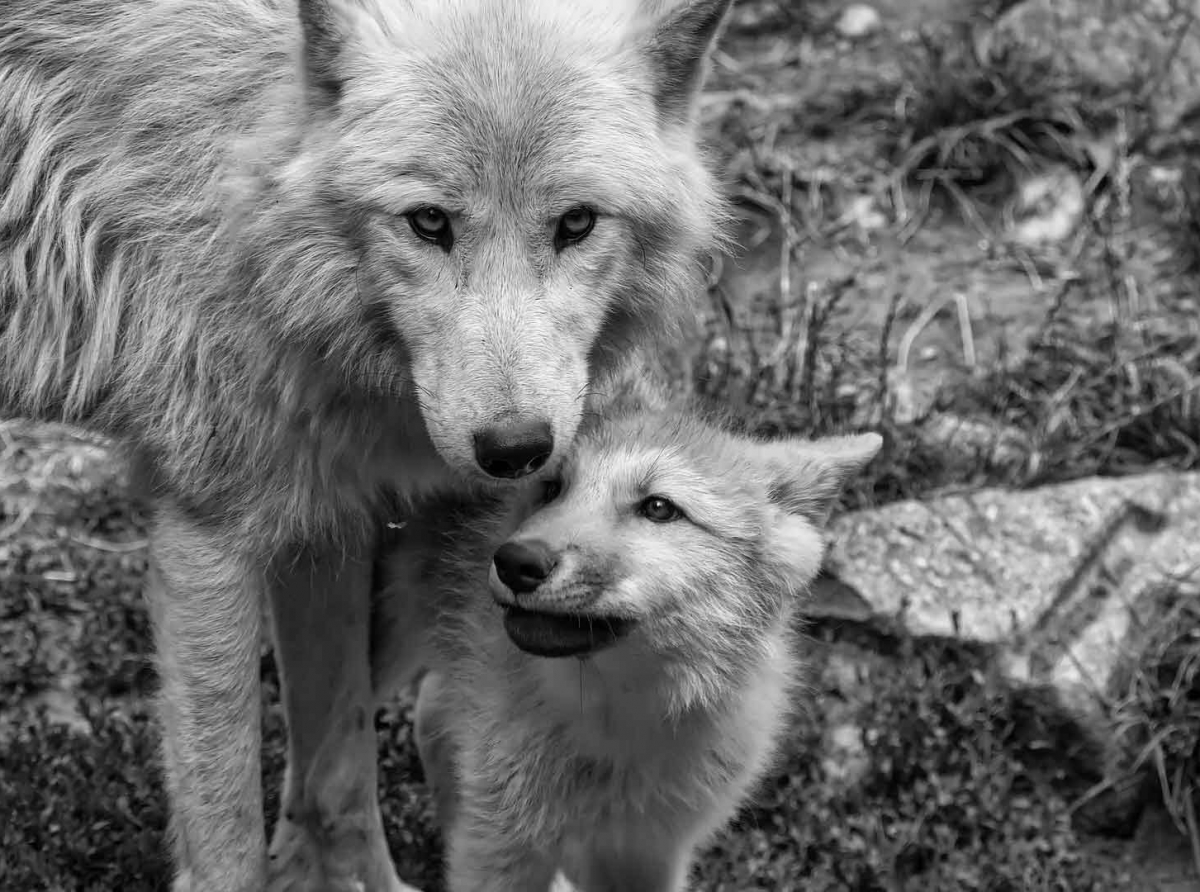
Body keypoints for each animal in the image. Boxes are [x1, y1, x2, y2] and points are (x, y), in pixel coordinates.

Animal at [0, 3, 729, 888]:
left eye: (577, 222)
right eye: (429, 222)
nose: (515, 448)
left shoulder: (327, 520)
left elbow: (337, 771)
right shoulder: (206, 534)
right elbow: (227, 837)